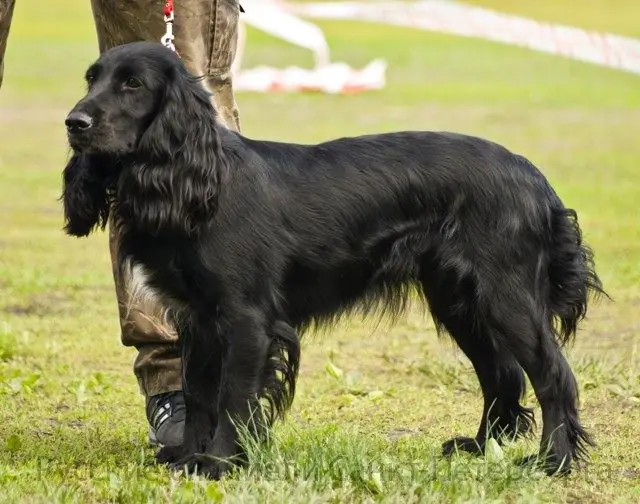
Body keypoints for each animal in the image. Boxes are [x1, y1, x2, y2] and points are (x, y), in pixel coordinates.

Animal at [61, 41, 604, 478]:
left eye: (132, 84)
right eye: (91, 79)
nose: (74, 123)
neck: (200, 178)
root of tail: (534, 179)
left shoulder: (246, 319)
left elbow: (233, 398)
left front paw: (217, 463)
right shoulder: (196, 320)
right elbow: (197, 395)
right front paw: (188, 458)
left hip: (506, 297)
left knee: (553, 376)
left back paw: (554, 461)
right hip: (459, 300)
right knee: (501, 374)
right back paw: (480, 445)